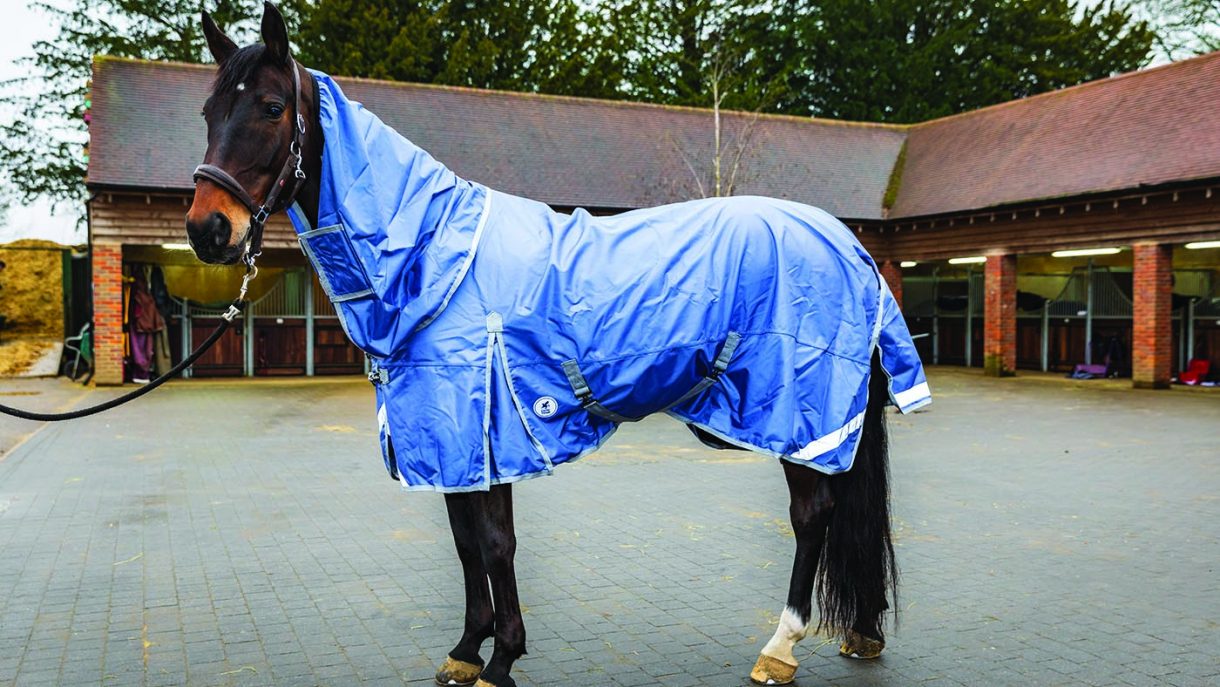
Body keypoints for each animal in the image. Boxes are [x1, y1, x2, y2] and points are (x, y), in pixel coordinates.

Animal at [185, 4, 930, 685]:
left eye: (272, 107)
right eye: (208, 111)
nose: (207, 230)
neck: (433, 254)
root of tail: (850, 245)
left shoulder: (485, 425)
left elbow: (494, 544)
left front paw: (502, 658)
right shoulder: (453, 438)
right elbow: (465, 544)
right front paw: (467, 648)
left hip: (801, 416)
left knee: (812, 515)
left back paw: (779, 647)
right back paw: (861, 633)